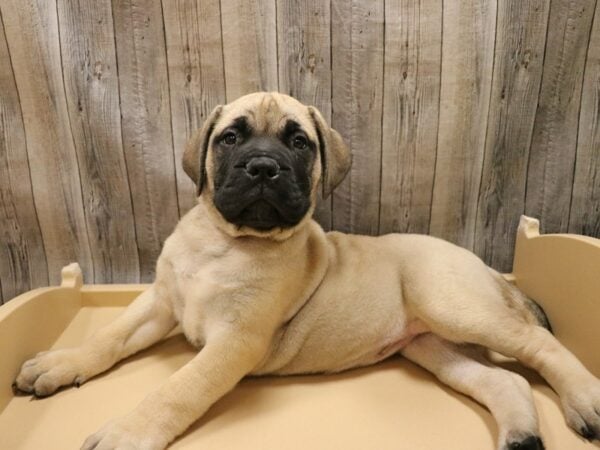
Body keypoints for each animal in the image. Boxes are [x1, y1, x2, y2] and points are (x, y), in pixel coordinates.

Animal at [12, 92, 600, 450]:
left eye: (299, 143)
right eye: (230, 138)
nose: (263, 167)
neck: (225, 241)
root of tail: (487, 267)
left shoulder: (234, 342)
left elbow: (176, 390)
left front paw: (127, 433)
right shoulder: (160, 303)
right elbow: (108, 337)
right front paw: (61, 362)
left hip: (452, 306)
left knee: (541, 346)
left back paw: (586, 400)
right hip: (431, 344)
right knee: (505, 380)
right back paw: (521, 435)